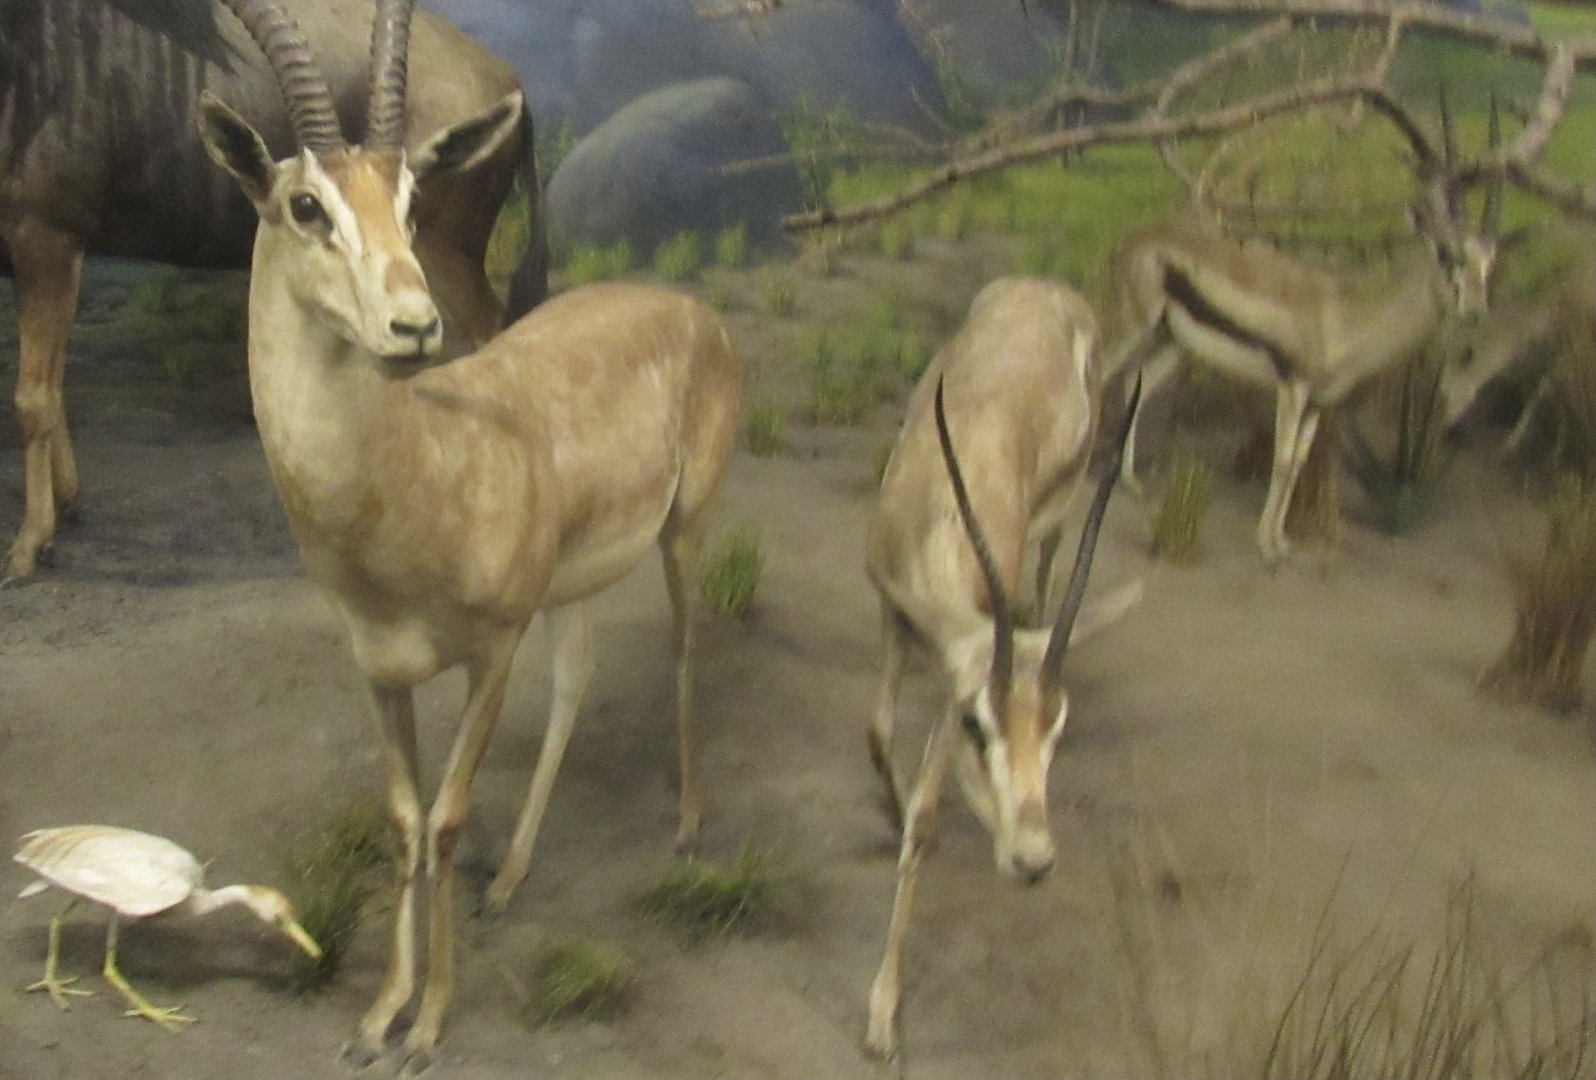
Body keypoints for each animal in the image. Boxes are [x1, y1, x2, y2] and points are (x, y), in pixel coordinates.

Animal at [1, 0, 548, 582]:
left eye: (411, 201)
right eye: (305, 205)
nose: (413, 326)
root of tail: (510, 79)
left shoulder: (48, 237)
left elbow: (33, 396)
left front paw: (29, 546)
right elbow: (52, 385)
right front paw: (66, 508)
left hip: (451, 262)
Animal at [197, 0, 740, 1068]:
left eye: (414, 203)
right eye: (305, 205)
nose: (415, 325)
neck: (424, 472)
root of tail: (688, 305)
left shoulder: (492, 652)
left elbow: (447, 820)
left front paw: (429, 1025)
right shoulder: (379, 670)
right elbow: (405, 820)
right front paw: (379, 1013)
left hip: (684, 531)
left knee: (687, 644)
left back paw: (693, 829)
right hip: (574, 584)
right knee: (576, 680)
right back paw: (515, 877)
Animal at [863, 278, 1141, 1060]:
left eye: (1057, 731)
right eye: (977, 724)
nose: (1034, 858)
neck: (939, 521)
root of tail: (1050, 290)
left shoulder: (960, 654)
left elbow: (926, 817)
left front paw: (882, 1015)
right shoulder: (901, 620)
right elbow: (879, 735)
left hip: (1059, 517)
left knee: (1046, 578)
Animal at [1108, 119, 1501, 562]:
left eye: (1489, 263)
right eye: (1446, 253)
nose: (1475, 310)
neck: (1344, 320)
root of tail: (1136, 237)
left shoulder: (1317, 401)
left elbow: (1297, 462)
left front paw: (1281, 539)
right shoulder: (1292, 385)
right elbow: (1281, 460)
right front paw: (1266, 545)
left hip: (1171, 340)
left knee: (1136, 382)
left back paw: (1129, 480)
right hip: (1136, 326)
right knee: (1102, 370)